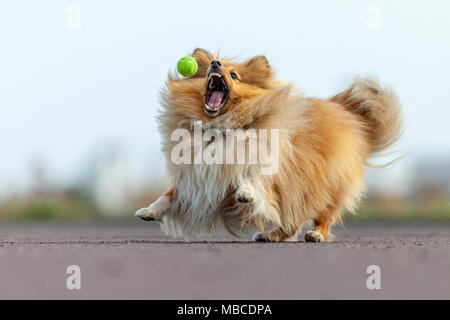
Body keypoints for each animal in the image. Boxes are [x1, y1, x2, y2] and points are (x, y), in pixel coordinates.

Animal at [135, 48, 402, 241]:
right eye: (212, 64)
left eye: (234, 75)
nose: (216, 63)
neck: (220, 128)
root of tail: (347, 112)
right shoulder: (197, 175)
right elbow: (169, 195)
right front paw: (148, 211)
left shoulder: (268, 170)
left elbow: (251, 179)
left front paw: (245, 193)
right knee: (292, 219)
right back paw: (270, 235)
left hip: (327, 184)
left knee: (324, 214)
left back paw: (315, 234)